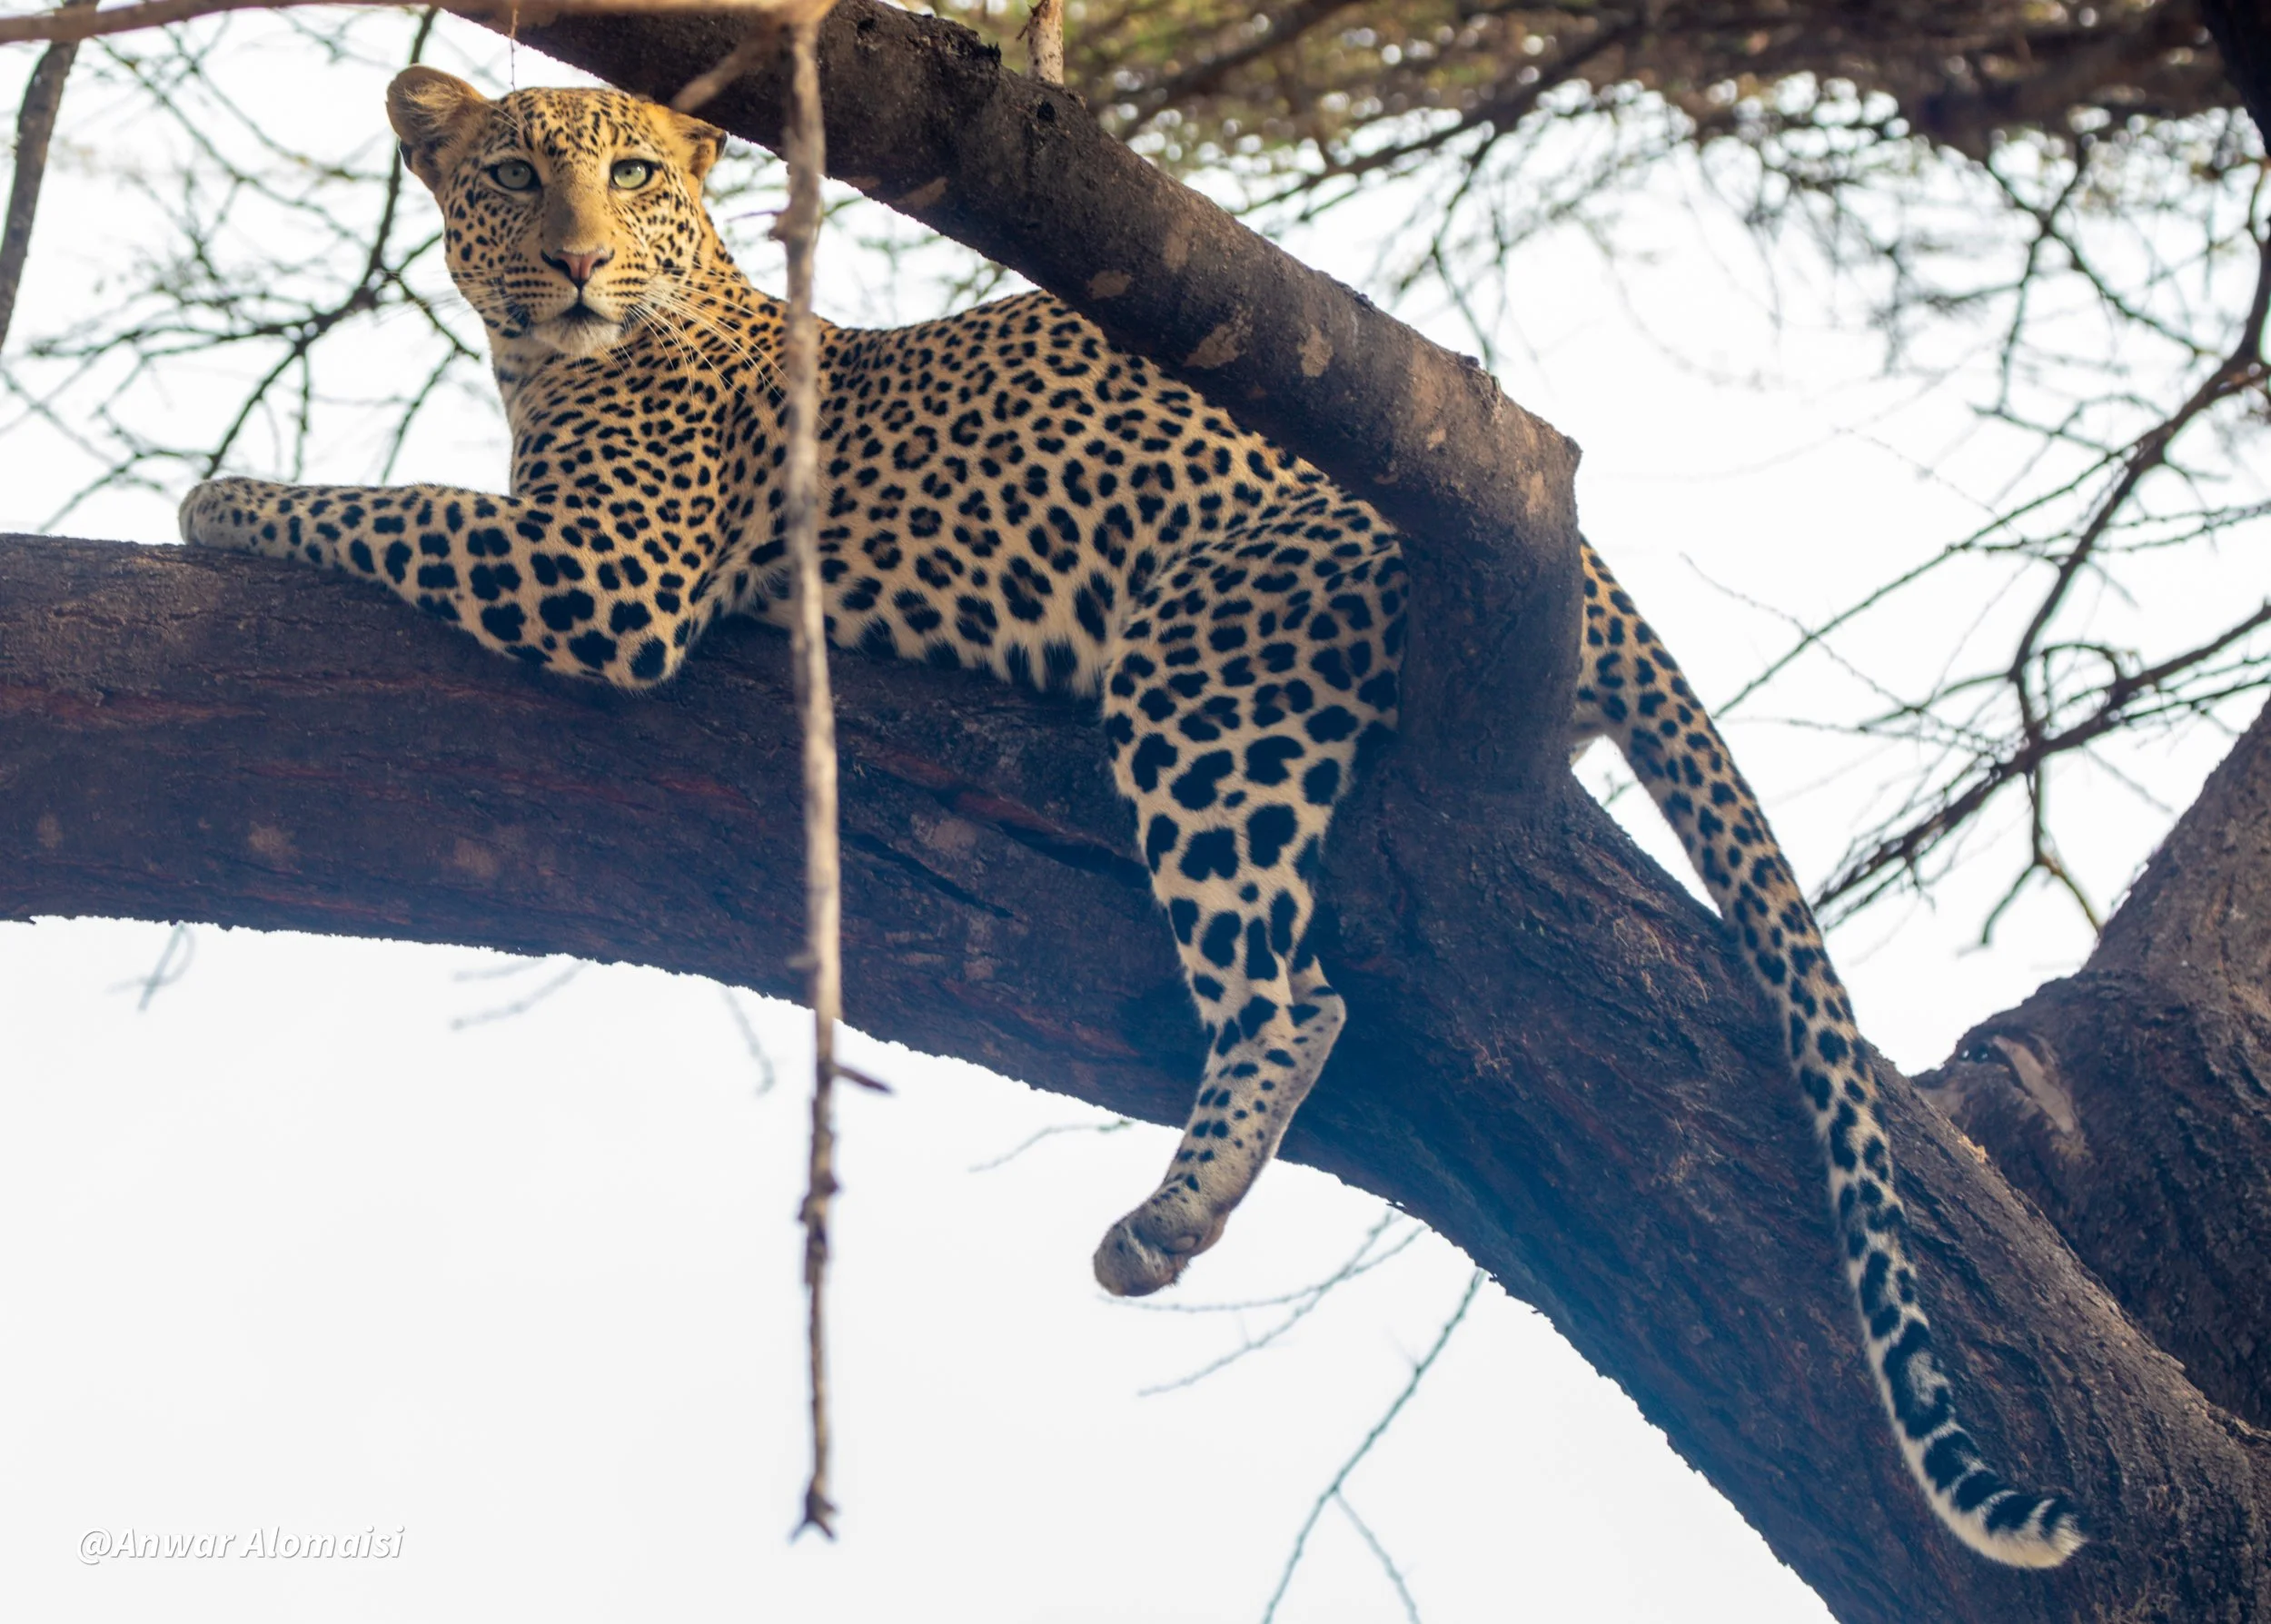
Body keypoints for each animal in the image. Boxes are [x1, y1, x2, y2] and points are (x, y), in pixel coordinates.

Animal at [177, 66, 2086, 1569]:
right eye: (513, 176)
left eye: (634, 173)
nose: (575, 257)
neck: (568, 353)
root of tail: (1586, 561)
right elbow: (415, 497)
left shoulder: (607, 579)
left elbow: (394, 505)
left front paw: (220, 497)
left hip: (1202, 667)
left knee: (1294, 990)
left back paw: (1168, 1216)